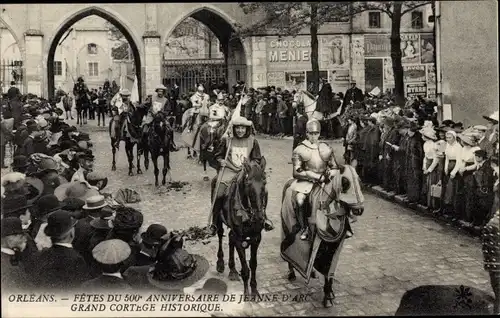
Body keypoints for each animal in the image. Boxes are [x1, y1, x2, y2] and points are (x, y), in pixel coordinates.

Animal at [210, 159, 268, 298]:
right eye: (248, 184)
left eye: (264, 183)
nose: (259, 217)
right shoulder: (239, 239)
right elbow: (246, 268)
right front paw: (246, 293)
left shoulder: (256, 238)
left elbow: (253, 264)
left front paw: (254, 290)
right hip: (218, 219)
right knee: (220, 234)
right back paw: (221, 263)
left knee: (230, 237)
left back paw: (232, 270)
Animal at [280, 163, 366, 306]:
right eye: (345, 182)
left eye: (359, 180)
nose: (359, 210)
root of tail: (290, 182)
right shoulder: (318, 241)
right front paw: (327, 296)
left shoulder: (337, 244)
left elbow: (329, 269)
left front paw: (329, 293)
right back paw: (291, 272)